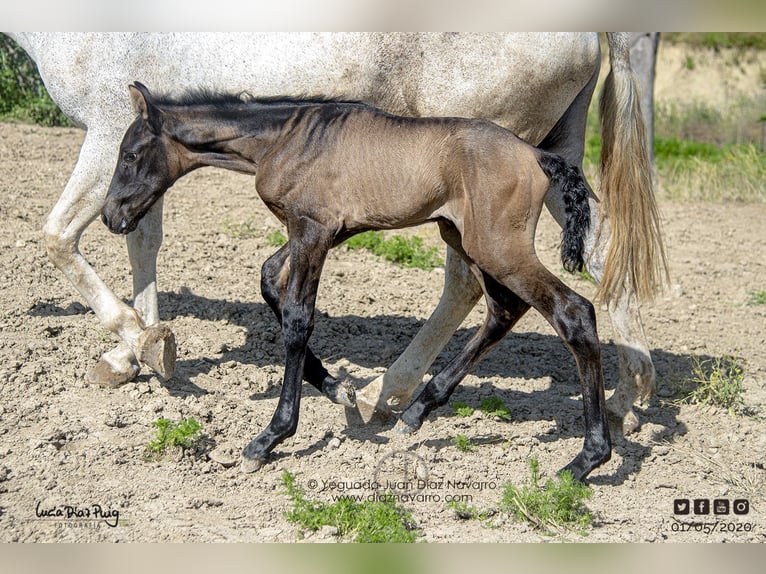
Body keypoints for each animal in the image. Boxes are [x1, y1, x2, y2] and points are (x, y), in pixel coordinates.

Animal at [6, 33, 667, 434]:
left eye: (131, 152)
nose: (112, 214)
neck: (288, 133)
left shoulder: (312, 230)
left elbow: (61, 236)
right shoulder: (321, 230)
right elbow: (266, 284)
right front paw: (147, 346)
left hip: (487, 229)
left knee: (509, 296)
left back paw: (396, 396)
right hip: (549, 159)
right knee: (593, 254)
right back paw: (628, 398)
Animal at [101, 82, 612, 480]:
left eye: (129, 155)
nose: (110, 216)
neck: (286, 138)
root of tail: (537, 155)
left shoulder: (313, 229)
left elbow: (297, 319)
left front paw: (270, 437)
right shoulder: (320, 232)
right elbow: (270, 283)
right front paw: (337, 388)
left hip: (498, 249)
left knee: (573, 312)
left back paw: (583, 462)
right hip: (467, 239)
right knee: (505, 309)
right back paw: (416, 412)